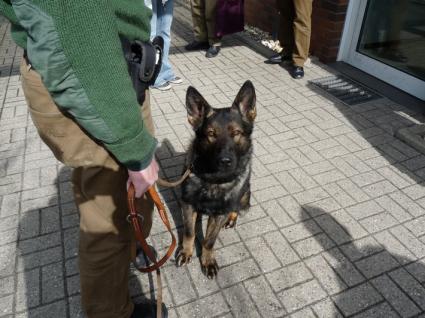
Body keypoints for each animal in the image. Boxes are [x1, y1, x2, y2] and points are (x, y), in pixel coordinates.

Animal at [176, 80, 255, 278]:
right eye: (211, 134)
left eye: (236, 133)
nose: (225, 161)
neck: (212, 180)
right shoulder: (187, 204)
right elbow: (189, 233)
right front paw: (186, 252)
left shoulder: (219, 213)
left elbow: (209, 241)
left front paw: (207, 260)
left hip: (245, 194)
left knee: (236, 206)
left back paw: (232, 218)